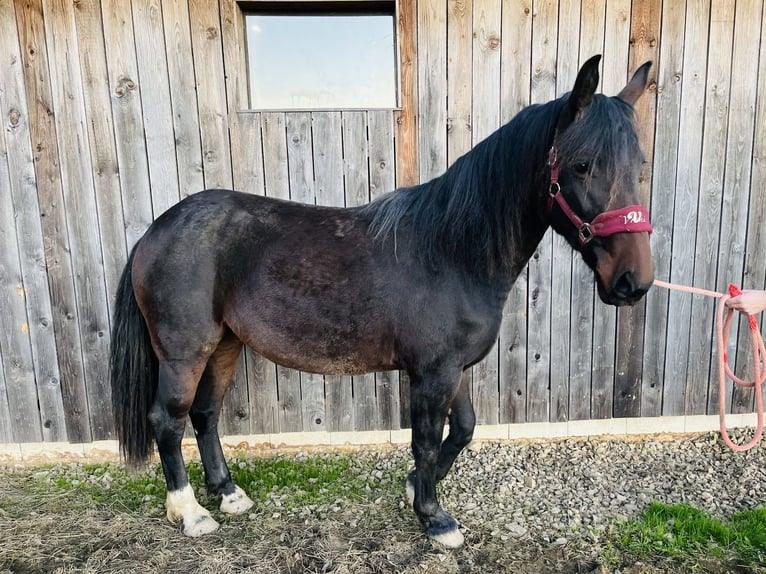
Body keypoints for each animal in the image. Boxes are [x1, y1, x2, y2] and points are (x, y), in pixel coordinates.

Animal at [111, 56, 656, 548]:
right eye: (582, 166)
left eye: (640, 167)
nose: (634, 281)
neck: (452, 251)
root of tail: (156, 230)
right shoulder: (432, 373)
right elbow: (425, 441)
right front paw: (435, 518)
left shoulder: (453, 368)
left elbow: (461, 430)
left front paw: (417, 487)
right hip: (184, 352)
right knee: (168, 420)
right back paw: (190, 512)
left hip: (224, 344)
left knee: (205, 414)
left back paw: (228, 493)